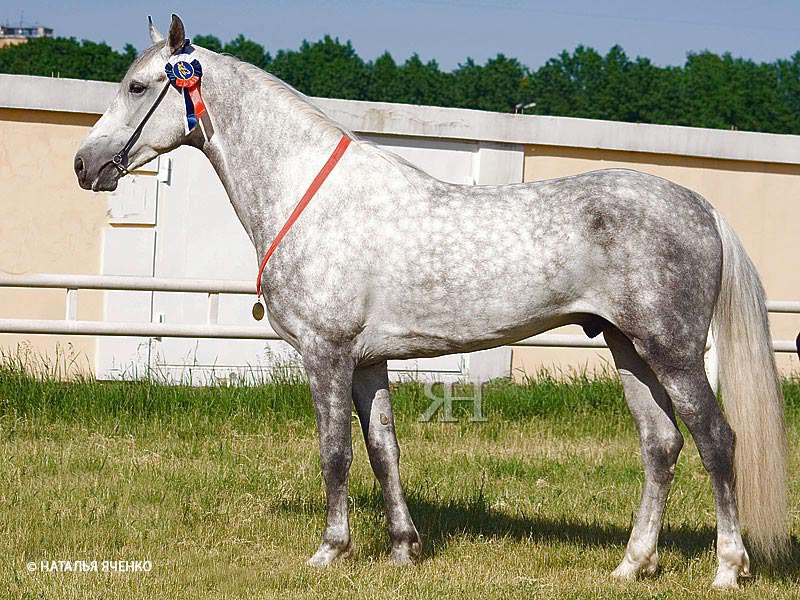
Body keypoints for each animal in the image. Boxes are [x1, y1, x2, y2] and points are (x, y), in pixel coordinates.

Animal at [75, 15, 788, 592]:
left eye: (138, 88)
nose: (85, 165)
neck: (313, 197)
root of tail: (702, 206)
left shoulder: (326, 355)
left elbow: (335, 451)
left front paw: (331, 552)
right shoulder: (368, 361)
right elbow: (383, 450)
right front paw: (402, 548)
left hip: (673, 352)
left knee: (716, 440)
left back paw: (729, 568)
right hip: (627, 348)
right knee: (661, 444)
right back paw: (632, 565)